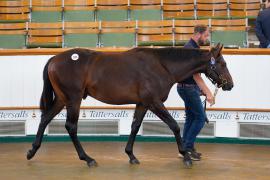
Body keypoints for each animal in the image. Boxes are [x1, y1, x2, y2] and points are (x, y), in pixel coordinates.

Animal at [28, 43, 234, 168]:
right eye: (223, 64)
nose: (230, 85)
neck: (162, 65)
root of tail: (54, 59)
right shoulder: (154, 102)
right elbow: (174, 126)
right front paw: (186, 155)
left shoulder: (142, 103)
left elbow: (135, 126)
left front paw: (131, 155)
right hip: (73, 100)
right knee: (71, 127)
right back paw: (88, 159)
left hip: (62, 99)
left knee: (45, 119)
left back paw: (32, 151)